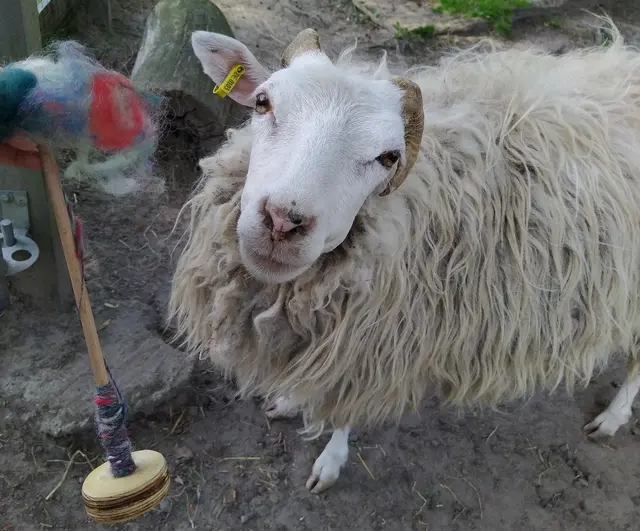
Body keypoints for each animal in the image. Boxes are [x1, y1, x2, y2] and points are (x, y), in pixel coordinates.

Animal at [169, 21, 640, 494]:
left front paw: (330, 462)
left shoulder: (374, 344)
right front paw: (287, 399)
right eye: (263, 102)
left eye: (388, 157)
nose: (283, 222)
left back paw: (612, 417)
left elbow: (344, 410)